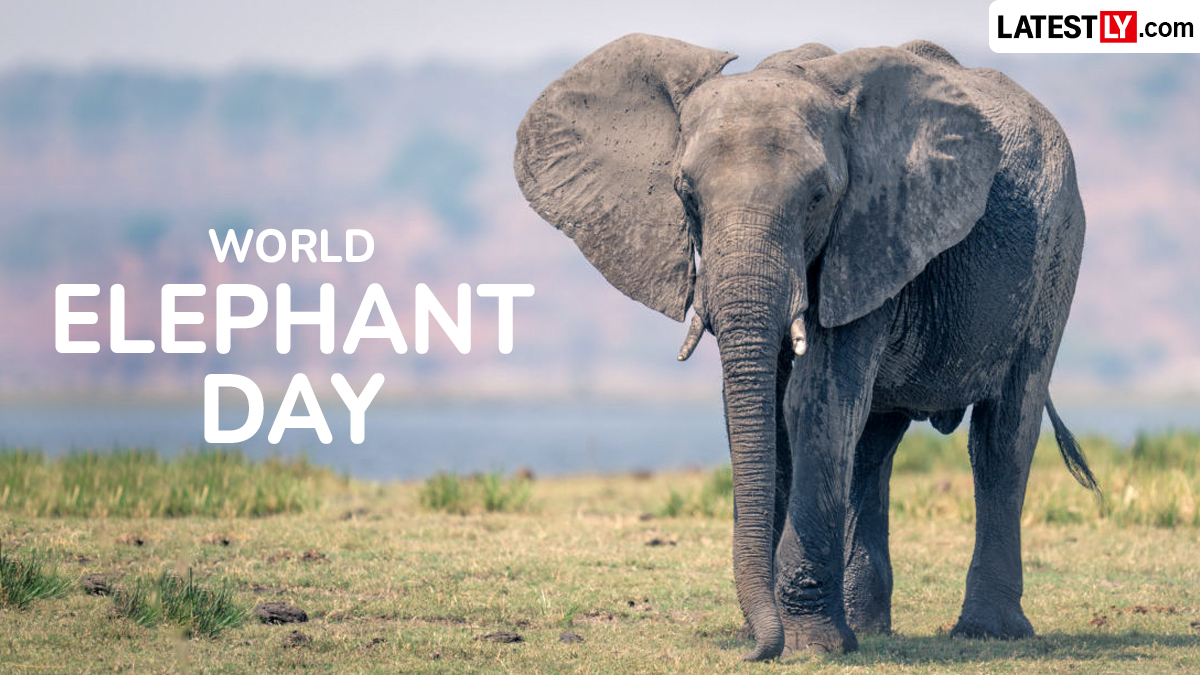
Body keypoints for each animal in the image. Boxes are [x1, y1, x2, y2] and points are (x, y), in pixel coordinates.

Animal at [514, 34, 1099, 660]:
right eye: (686, 195)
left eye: (819, 197)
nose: (750, 650)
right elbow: (763, 410)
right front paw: (784, 636)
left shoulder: (869, 231)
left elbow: (812, 403)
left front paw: (808, 646)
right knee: (872, 442)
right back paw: (868, 629)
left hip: (1057, 250)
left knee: (1003, 431)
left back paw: (985, 632)